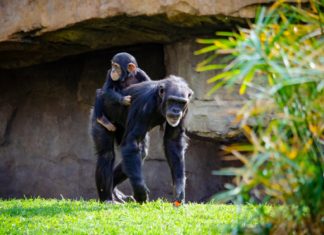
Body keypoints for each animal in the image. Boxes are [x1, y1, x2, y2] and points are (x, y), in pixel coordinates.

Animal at [90, 75, 194, 204]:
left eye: (181, 103)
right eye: (172, 100)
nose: (176, 110)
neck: (158, 100)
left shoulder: (185, 110)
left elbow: (173, 141)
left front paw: (179, 191)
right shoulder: (144, 105)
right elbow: (132, 142)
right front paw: (140, 192)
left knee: (140, 153)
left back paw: (114, 190)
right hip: (100, 117)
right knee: (107, 154)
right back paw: (107, 199)